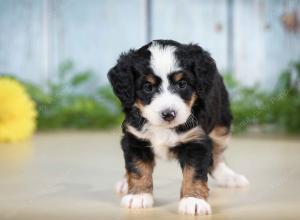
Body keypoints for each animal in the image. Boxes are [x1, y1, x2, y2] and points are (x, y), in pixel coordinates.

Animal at [108, 39, 248, 215]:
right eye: (148, 87)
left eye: (182, 84)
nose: (168, 114)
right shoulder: (135, 139)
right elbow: (137, 168)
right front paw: (138, 196)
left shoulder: (196, 140)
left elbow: (194, 173)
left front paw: (193, 201)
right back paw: (124, 182)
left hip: (221, 123)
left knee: (217, 152)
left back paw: (229, 177)